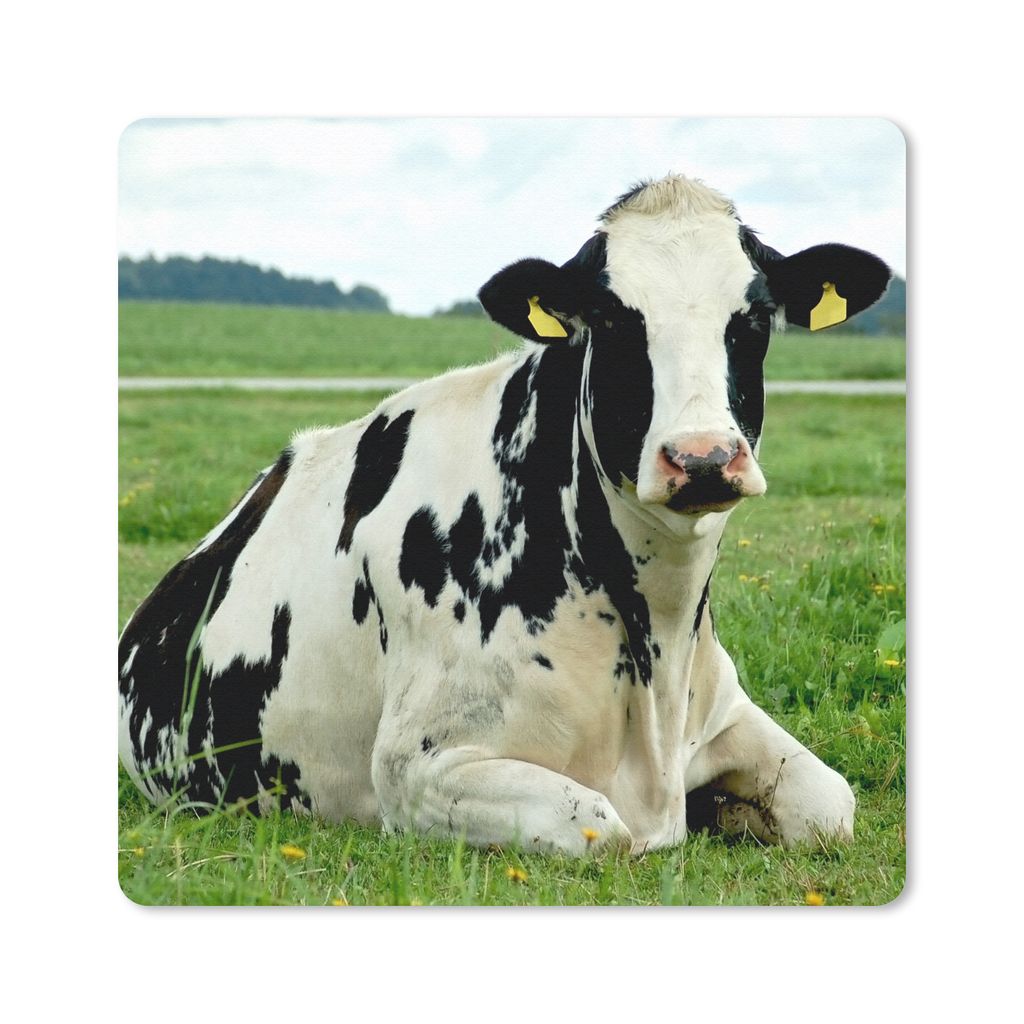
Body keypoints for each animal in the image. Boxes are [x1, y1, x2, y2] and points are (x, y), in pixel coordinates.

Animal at [118, 173, 891, 855]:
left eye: (754, 319)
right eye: (610, 318)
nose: (701, 458)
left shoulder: (724, 714)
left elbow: (831, 804)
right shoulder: (419, 768)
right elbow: (603, 827)